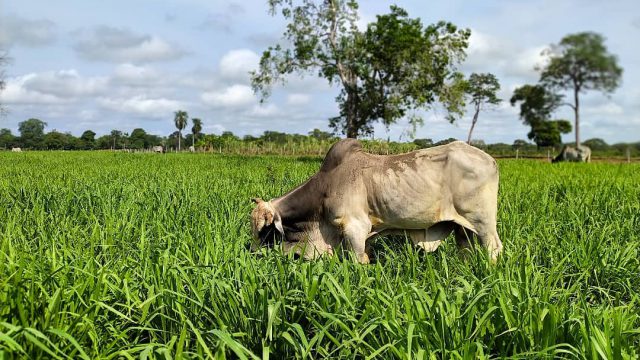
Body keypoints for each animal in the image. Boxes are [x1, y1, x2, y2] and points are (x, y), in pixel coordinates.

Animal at [252, 139, 502, 262]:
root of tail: (490, 160)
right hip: (462, 227)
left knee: (493, 249)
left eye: (264, 229)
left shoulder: (355, 227)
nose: (252, 254)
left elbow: (358, 261)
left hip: (483, 222)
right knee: (466, 250)